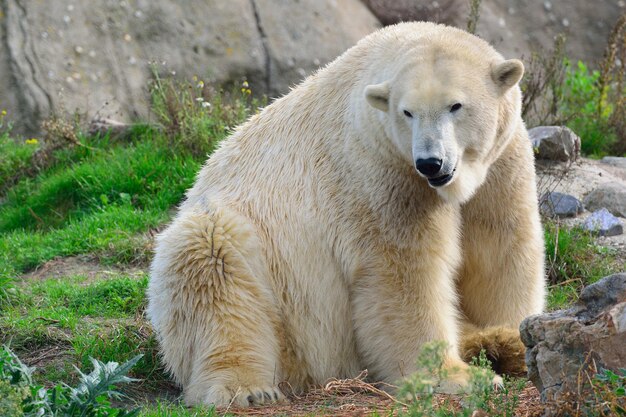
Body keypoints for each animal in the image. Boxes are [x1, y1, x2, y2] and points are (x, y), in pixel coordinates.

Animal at [145, 21, 540, 404]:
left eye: (456, 106)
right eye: (407, 112)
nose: (430, 162)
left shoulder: (502, 166)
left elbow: (500, 247)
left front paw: (518, 338)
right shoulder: (382, 174)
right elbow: (404, 274)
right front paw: (455, 377)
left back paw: (493, 342)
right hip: (257, 268)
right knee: (215, 271)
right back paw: (247, 389)